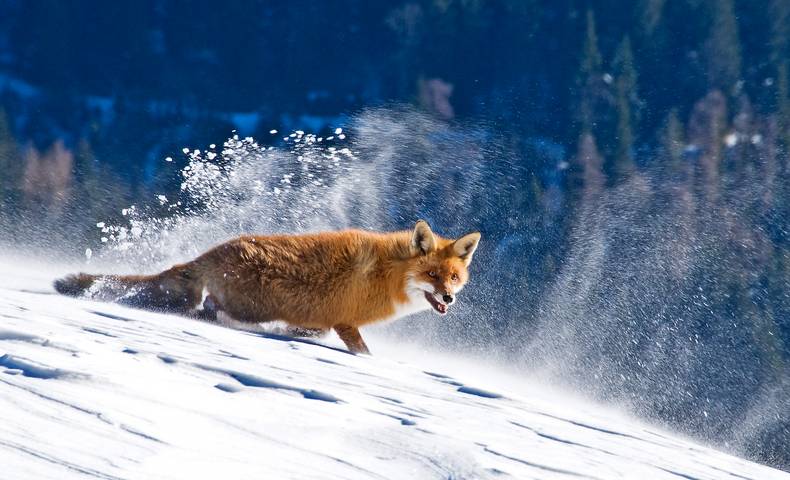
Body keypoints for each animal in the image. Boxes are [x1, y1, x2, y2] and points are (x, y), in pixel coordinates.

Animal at [54, 221, 482, 352]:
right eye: (432, 275)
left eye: (453, 277)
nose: (448, 297)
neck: (386, 274)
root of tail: (215, 251)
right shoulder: (346, 323)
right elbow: (363, 353)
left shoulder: (324, 320)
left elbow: (311, 331)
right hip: (250, 306)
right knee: (205, 310)